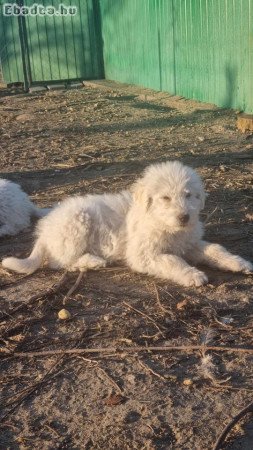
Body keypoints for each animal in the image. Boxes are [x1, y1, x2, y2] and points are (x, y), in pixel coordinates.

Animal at [1, 162, 251, 286]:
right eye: (165, 198)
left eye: (189, 195)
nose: (184, 218)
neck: (165, 226)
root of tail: (44, 231)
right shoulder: (143, 254)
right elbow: (171, 260)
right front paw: (192, 274)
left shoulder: (190, 243)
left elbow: (215, 249)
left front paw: (238, 262)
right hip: (77, 223)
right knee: (59, 262)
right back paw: (93, 261)